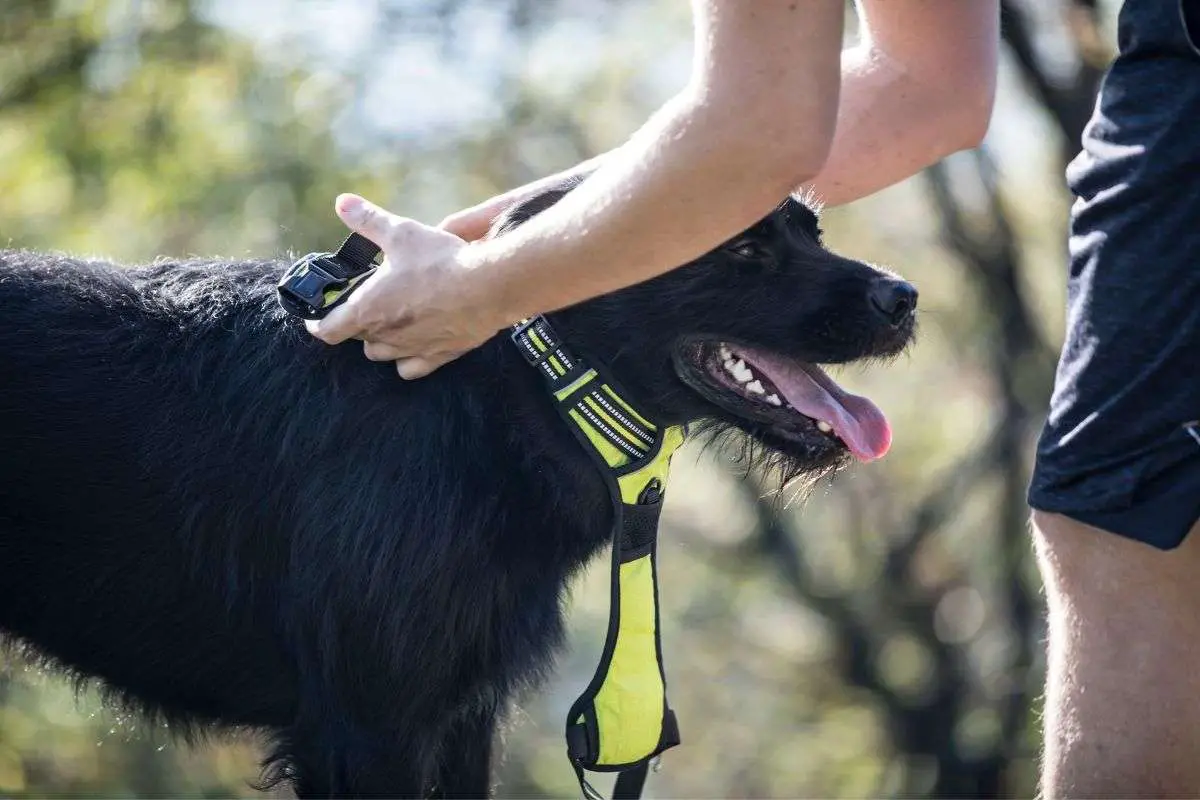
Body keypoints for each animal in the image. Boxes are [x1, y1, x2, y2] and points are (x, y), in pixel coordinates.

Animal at [0, 178, 912, 796]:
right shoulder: (369, 727)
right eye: (744, 248)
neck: (510, 387)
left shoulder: (464, 715)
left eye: (812, 228)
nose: (904, 297)